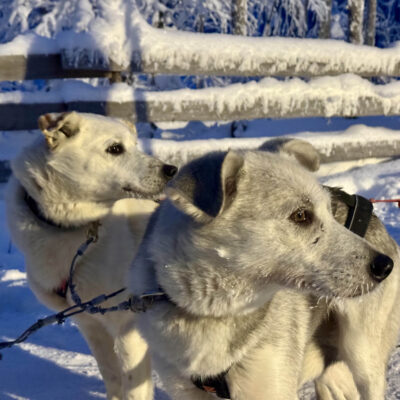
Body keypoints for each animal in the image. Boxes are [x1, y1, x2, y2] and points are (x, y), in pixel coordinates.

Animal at [5, 111, 177, 400]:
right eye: (115, 149)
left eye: (136, 145)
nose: (171, 170)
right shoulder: (91, 324)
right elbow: (111, 376)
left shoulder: (128, 327)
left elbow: (134, 387)